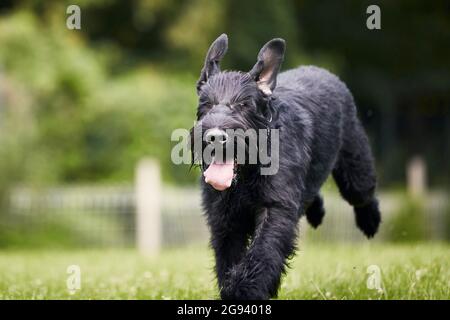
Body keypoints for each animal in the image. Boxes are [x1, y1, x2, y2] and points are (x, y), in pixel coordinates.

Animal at [190, 34, 380, 300]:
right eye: (206, 104)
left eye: (244, 105)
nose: (215, 136)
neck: (248, 173)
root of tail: (323, 71)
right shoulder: (224, 219)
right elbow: (228, 258)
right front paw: (234, 288)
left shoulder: (275, 209)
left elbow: (263, 251)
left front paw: (245, 289)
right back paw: (317, 211)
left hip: (354, 170)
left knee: (363, 193)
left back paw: (370, 220)